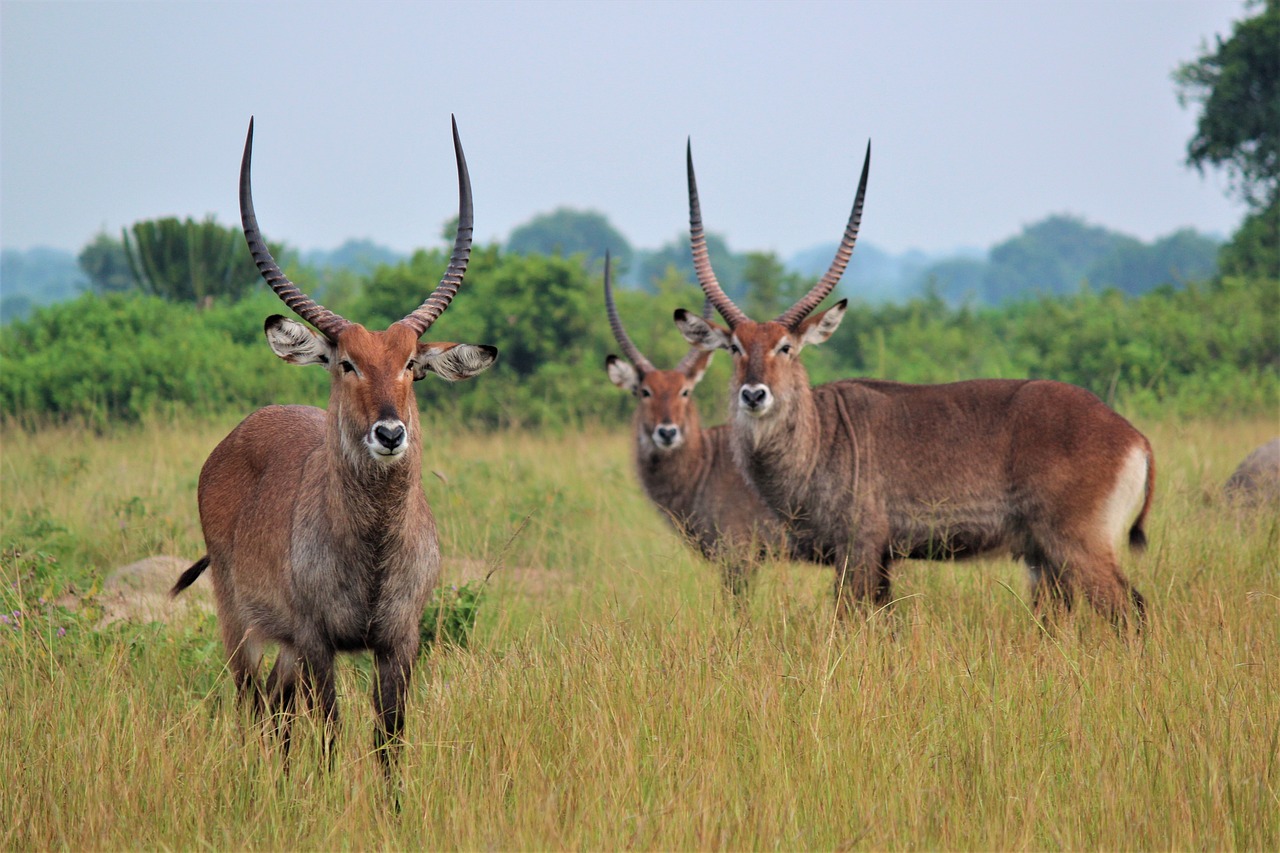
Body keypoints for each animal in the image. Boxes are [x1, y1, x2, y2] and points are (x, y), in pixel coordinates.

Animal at [165, 114, 494, 763]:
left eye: (411, 364)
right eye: (347, 363)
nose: (389, 432)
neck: (372, 550)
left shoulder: (399, 643)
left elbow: (389, 740)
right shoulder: (318, 641)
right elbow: (332, 737)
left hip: (284, 646)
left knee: (278, 707)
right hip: (241, 624)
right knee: (255, 707)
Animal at [675, 140, 1157, 625]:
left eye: (786, 347)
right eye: (734, 347)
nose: (754, 394)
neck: (820, 436)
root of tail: (1133, 436)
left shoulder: (859, 548)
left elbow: (849, 618)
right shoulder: (883, 558)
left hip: (1077, 544)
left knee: (1131, 610)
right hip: (1045, 556)